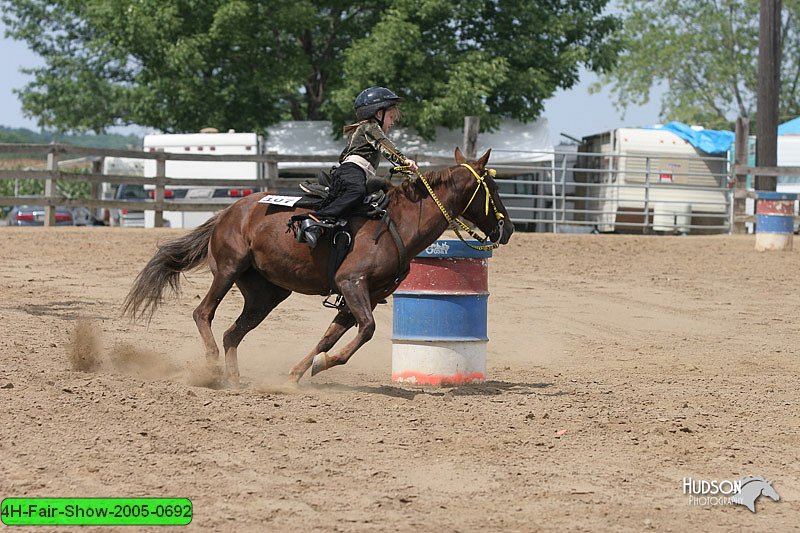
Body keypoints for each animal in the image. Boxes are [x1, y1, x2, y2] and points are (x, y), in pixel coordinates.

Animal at [122, 148, 516, 384]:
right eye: (493, 187)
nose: (508, 228)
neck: (400, 223)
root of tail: (228, 212)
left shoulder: (365, 296)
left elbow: (332, 335)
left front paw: (298, 372)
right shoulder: (352, 282)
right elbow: (366, 330)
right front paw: (321, 364)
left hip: (266, 294)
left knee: (234, 332)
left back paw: (234, 380)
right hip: (228, 269)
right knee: (203, 313)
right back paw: (212, 365)